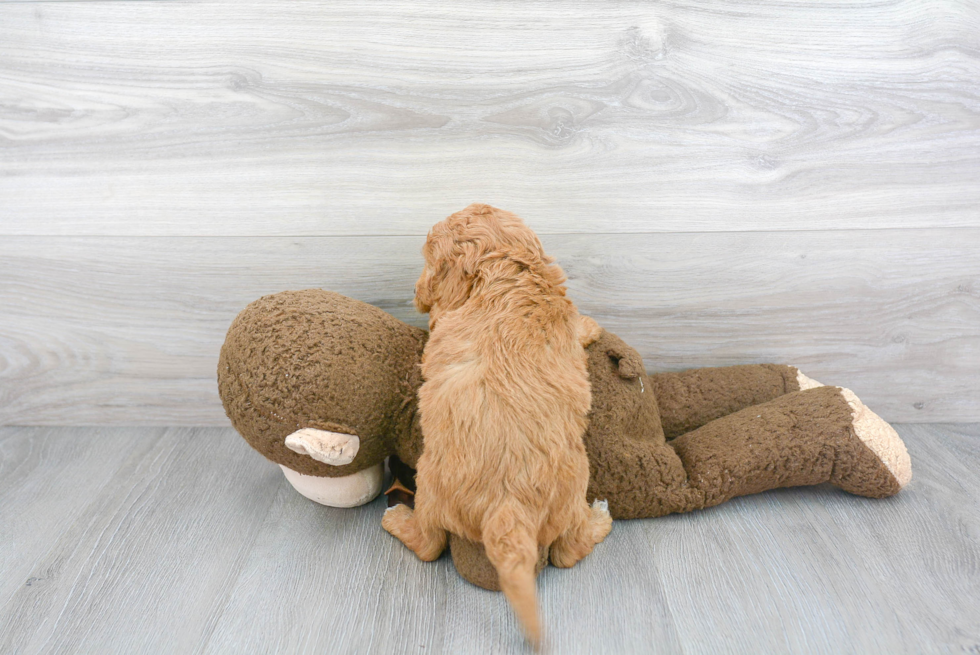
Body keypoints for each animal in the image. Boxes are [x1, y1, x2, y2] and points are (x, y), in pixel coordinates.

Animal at [382, 202, 612, 648]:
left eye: (427, 260)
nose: (415, 292)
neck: (506, 268)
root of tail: (508, 507)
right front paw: (591, 326)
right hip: (572, 485)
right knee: (566, 551)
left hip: (431, 486)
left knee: (430, 543)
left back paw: (396, 519)